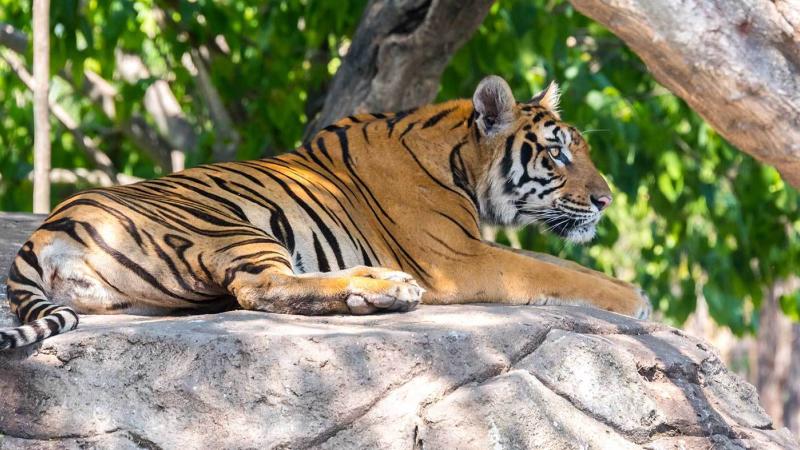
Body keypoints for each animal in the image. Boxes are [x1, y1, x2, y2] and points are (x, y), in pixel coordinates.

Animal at [1, 75, 651, 350]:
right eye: (558, 152)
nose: (605, 200)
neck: (460, 160)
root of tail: (44, 230)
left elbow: (568, 266)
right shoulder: (458, 258)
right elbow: (552, 270)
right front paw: (634, 299)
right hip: (229, 223)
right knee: (262, 289)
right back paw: (387, 290)